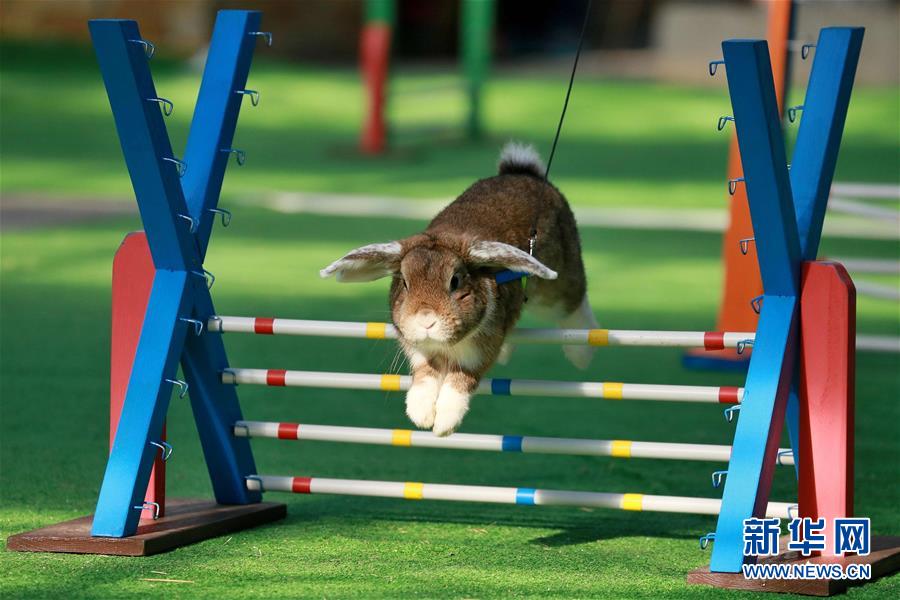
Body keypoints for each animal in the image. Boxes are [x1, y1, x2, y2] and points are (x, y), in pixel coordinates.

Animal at [322, 143, 596, 438]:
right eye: (404, 282)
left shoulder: (478, 354)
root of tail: (522, 172)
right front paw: (420, 414)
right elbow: (425, 376)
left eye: (455, 281)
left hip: (554, 286)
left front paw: (443, 425)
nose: (426, 320)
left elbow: (460, 381)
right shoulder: (420, 352)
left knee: (574, 303)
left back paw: (582, 354)